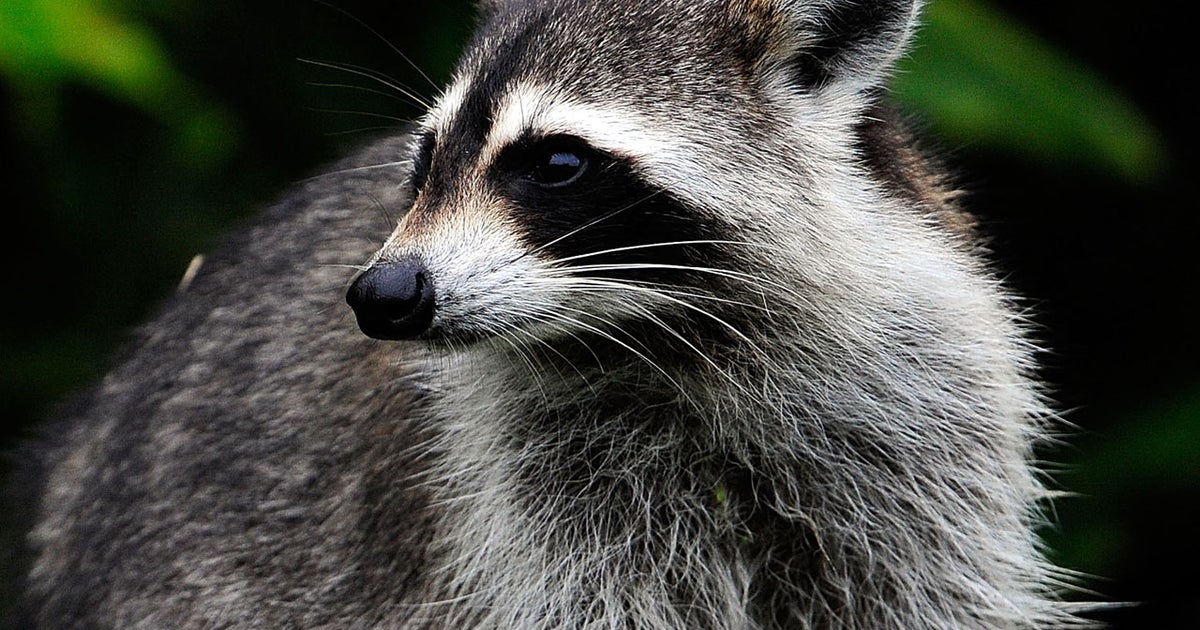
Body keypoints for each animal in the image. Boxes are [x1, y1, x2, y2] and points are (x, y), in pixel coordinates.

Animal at [13, 0, 1094, 627]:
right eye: (424, 160)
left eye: (557, 163)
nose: (384, 294)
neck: (670, 329)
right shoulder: (524, 494)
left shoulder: (921, 415)